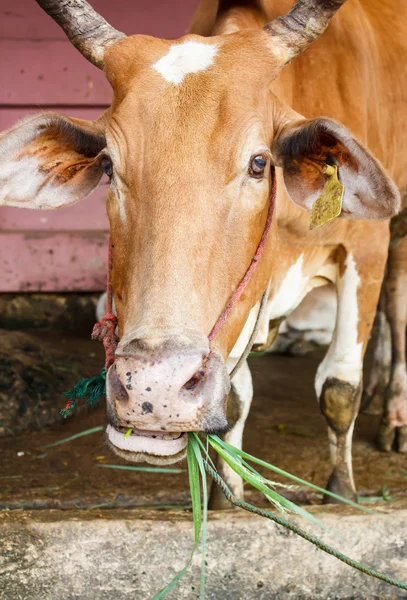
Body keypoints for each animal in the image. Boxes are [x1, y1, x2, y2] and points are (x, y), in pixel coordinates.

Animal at [0, 0, 404, 506]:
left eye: (259, 163)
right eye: (109, 166)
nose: (155, 388)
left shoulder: (365, 246)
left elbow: (338, 387)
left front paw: (341, 493)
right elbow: (238, 396)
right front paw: (229, 491)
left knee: (396, 304)